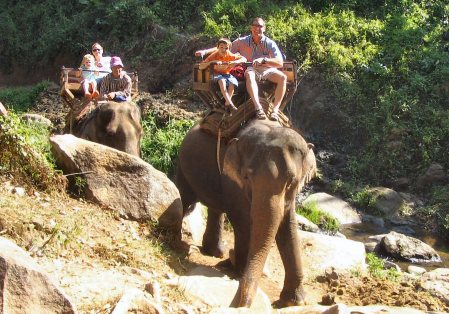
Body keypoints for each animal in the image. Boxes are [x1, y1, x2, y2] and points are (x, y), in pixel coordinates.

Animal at [175, 119, 316, 308]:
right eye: (247, 177)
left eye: (291, 181)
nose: (239, 304)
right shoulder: (232, 181)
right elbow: (242, 220)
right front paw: (238, 273)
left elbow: (289, 226)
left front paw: (294, 301)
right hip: (183, 167)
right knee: (184, 198)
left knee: (215, 209)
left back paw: (217, 253)